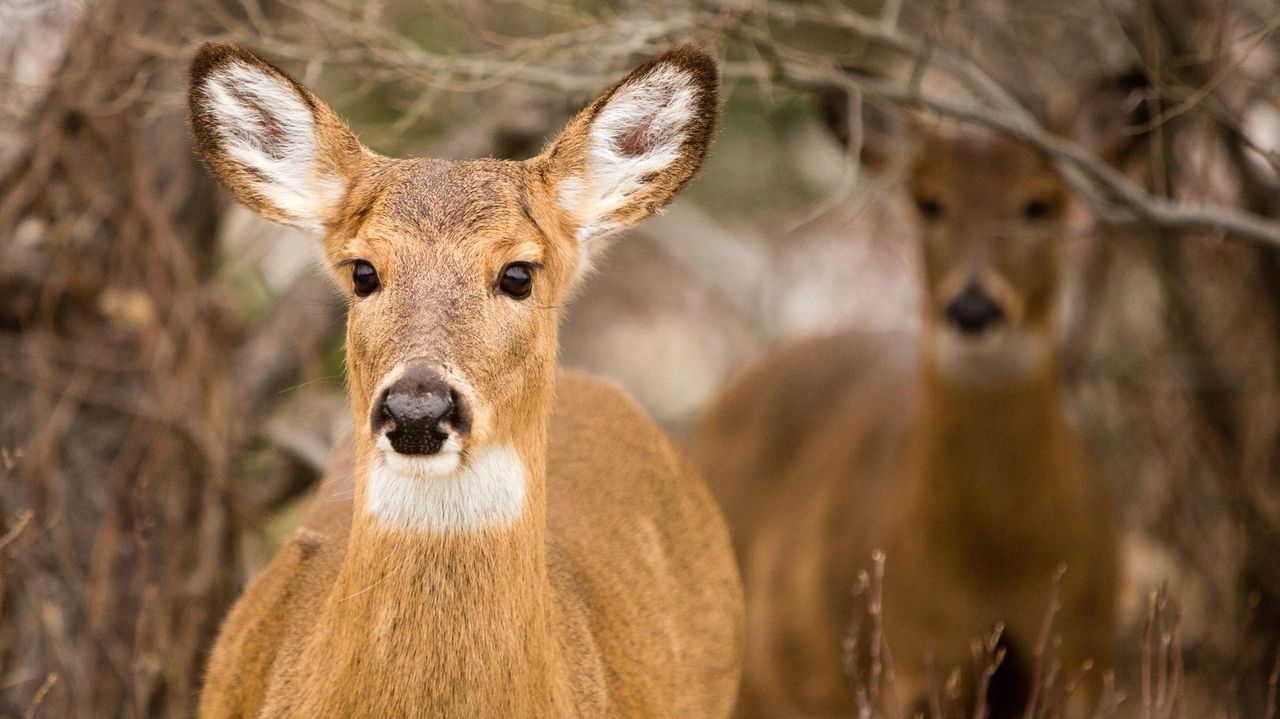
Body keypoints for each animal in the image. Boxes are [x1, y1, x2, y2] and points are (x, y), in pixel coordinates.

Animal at [692, 98, 1120, 717]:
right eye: (929, 201)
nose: (973, 307)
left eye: (1040, 203)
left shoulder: (1078, 658)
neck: (996, 562)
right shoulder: (908, 658)